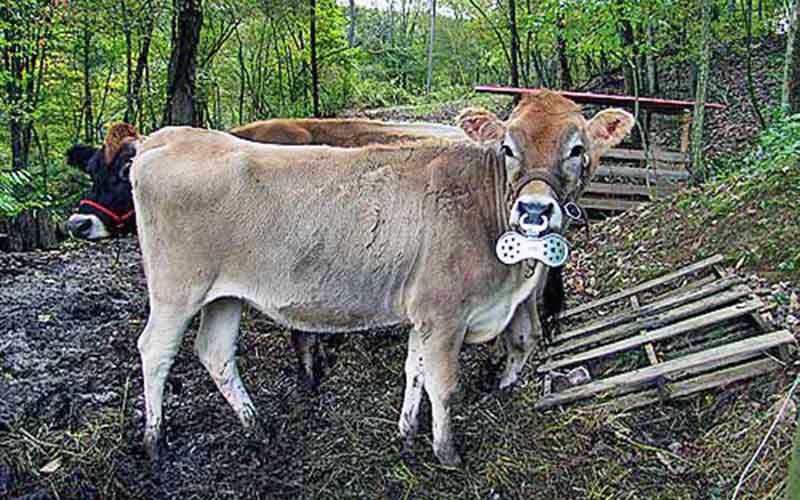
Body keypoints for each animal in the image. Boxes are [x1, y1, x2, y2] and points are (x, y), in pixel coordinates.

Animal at [131, 90, 634, 465]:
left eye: (577, 150)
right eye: (508, 148)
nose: (533, 210)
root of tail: (168, 137)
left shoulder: (425, 314)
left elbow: (415, 371)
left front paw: (407, 434)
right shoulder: (444, 314)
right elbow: (443, 385)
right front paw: (447, 453)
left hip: (225, 295)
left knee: (215, 353)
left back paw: (258, 427)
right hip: (177, 290)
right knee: (155, 350)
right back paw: (155, 442)